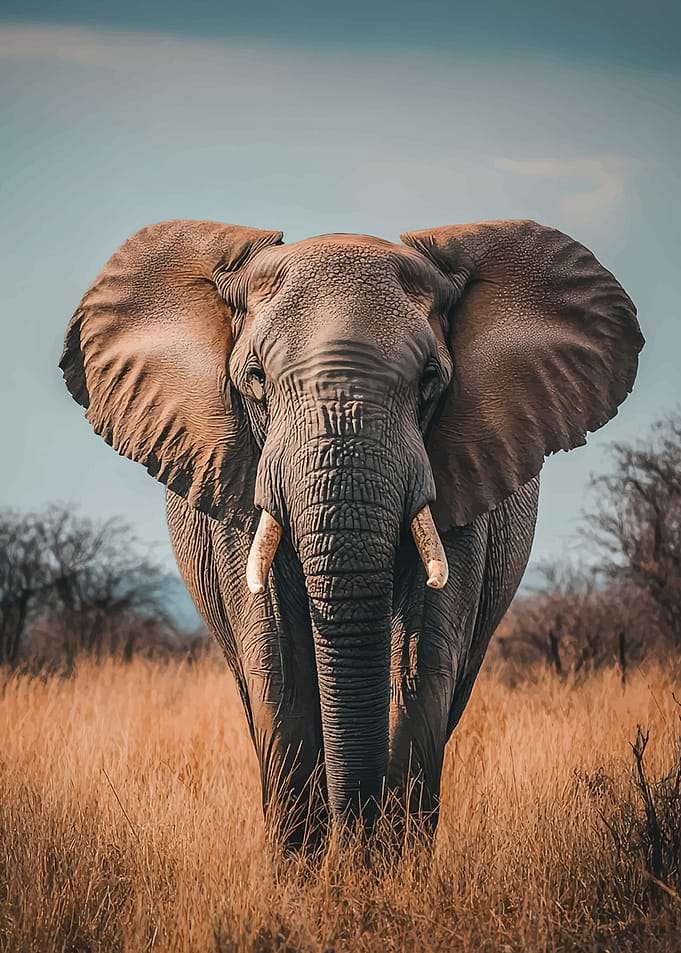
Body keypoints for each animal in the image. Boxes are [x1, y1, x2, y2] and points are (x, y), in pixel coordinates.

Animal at [60, 218, 643, 850]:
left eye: (430, 379)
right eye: (256, 378)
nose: (350, 833)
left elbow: (420, 666)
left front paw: (386, 868)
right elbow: (280, 668)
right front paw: (308, 870)